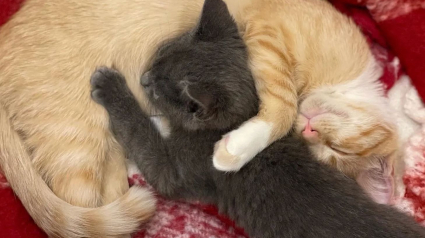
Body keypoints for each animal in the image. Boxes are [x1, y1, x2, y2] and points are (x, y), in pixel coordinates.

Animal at [88, 0, 424, 235]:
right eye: (159, 57)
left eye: (156, 90)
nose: (143, 79)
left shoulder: (183, 169)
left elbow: (145, 140)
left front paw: (111, 87)